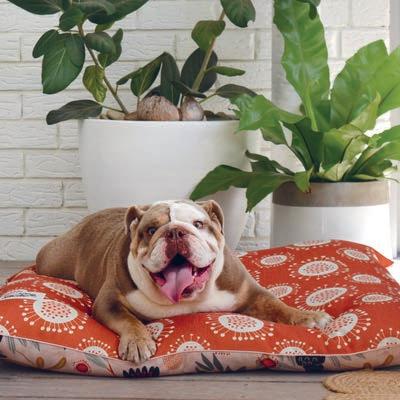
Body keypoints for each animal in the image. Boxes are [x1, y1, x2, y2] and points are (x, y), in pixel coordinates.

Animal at [36, 200, 331, 364]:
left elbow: (278, 305)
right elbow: (127, 319)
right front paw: (138, 341)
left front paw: (307, 316)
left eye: (198, 224)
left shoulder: (250, 292)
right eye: (151, 230)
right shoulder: (109, 300)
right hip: (52, 260)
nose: (175, 232)